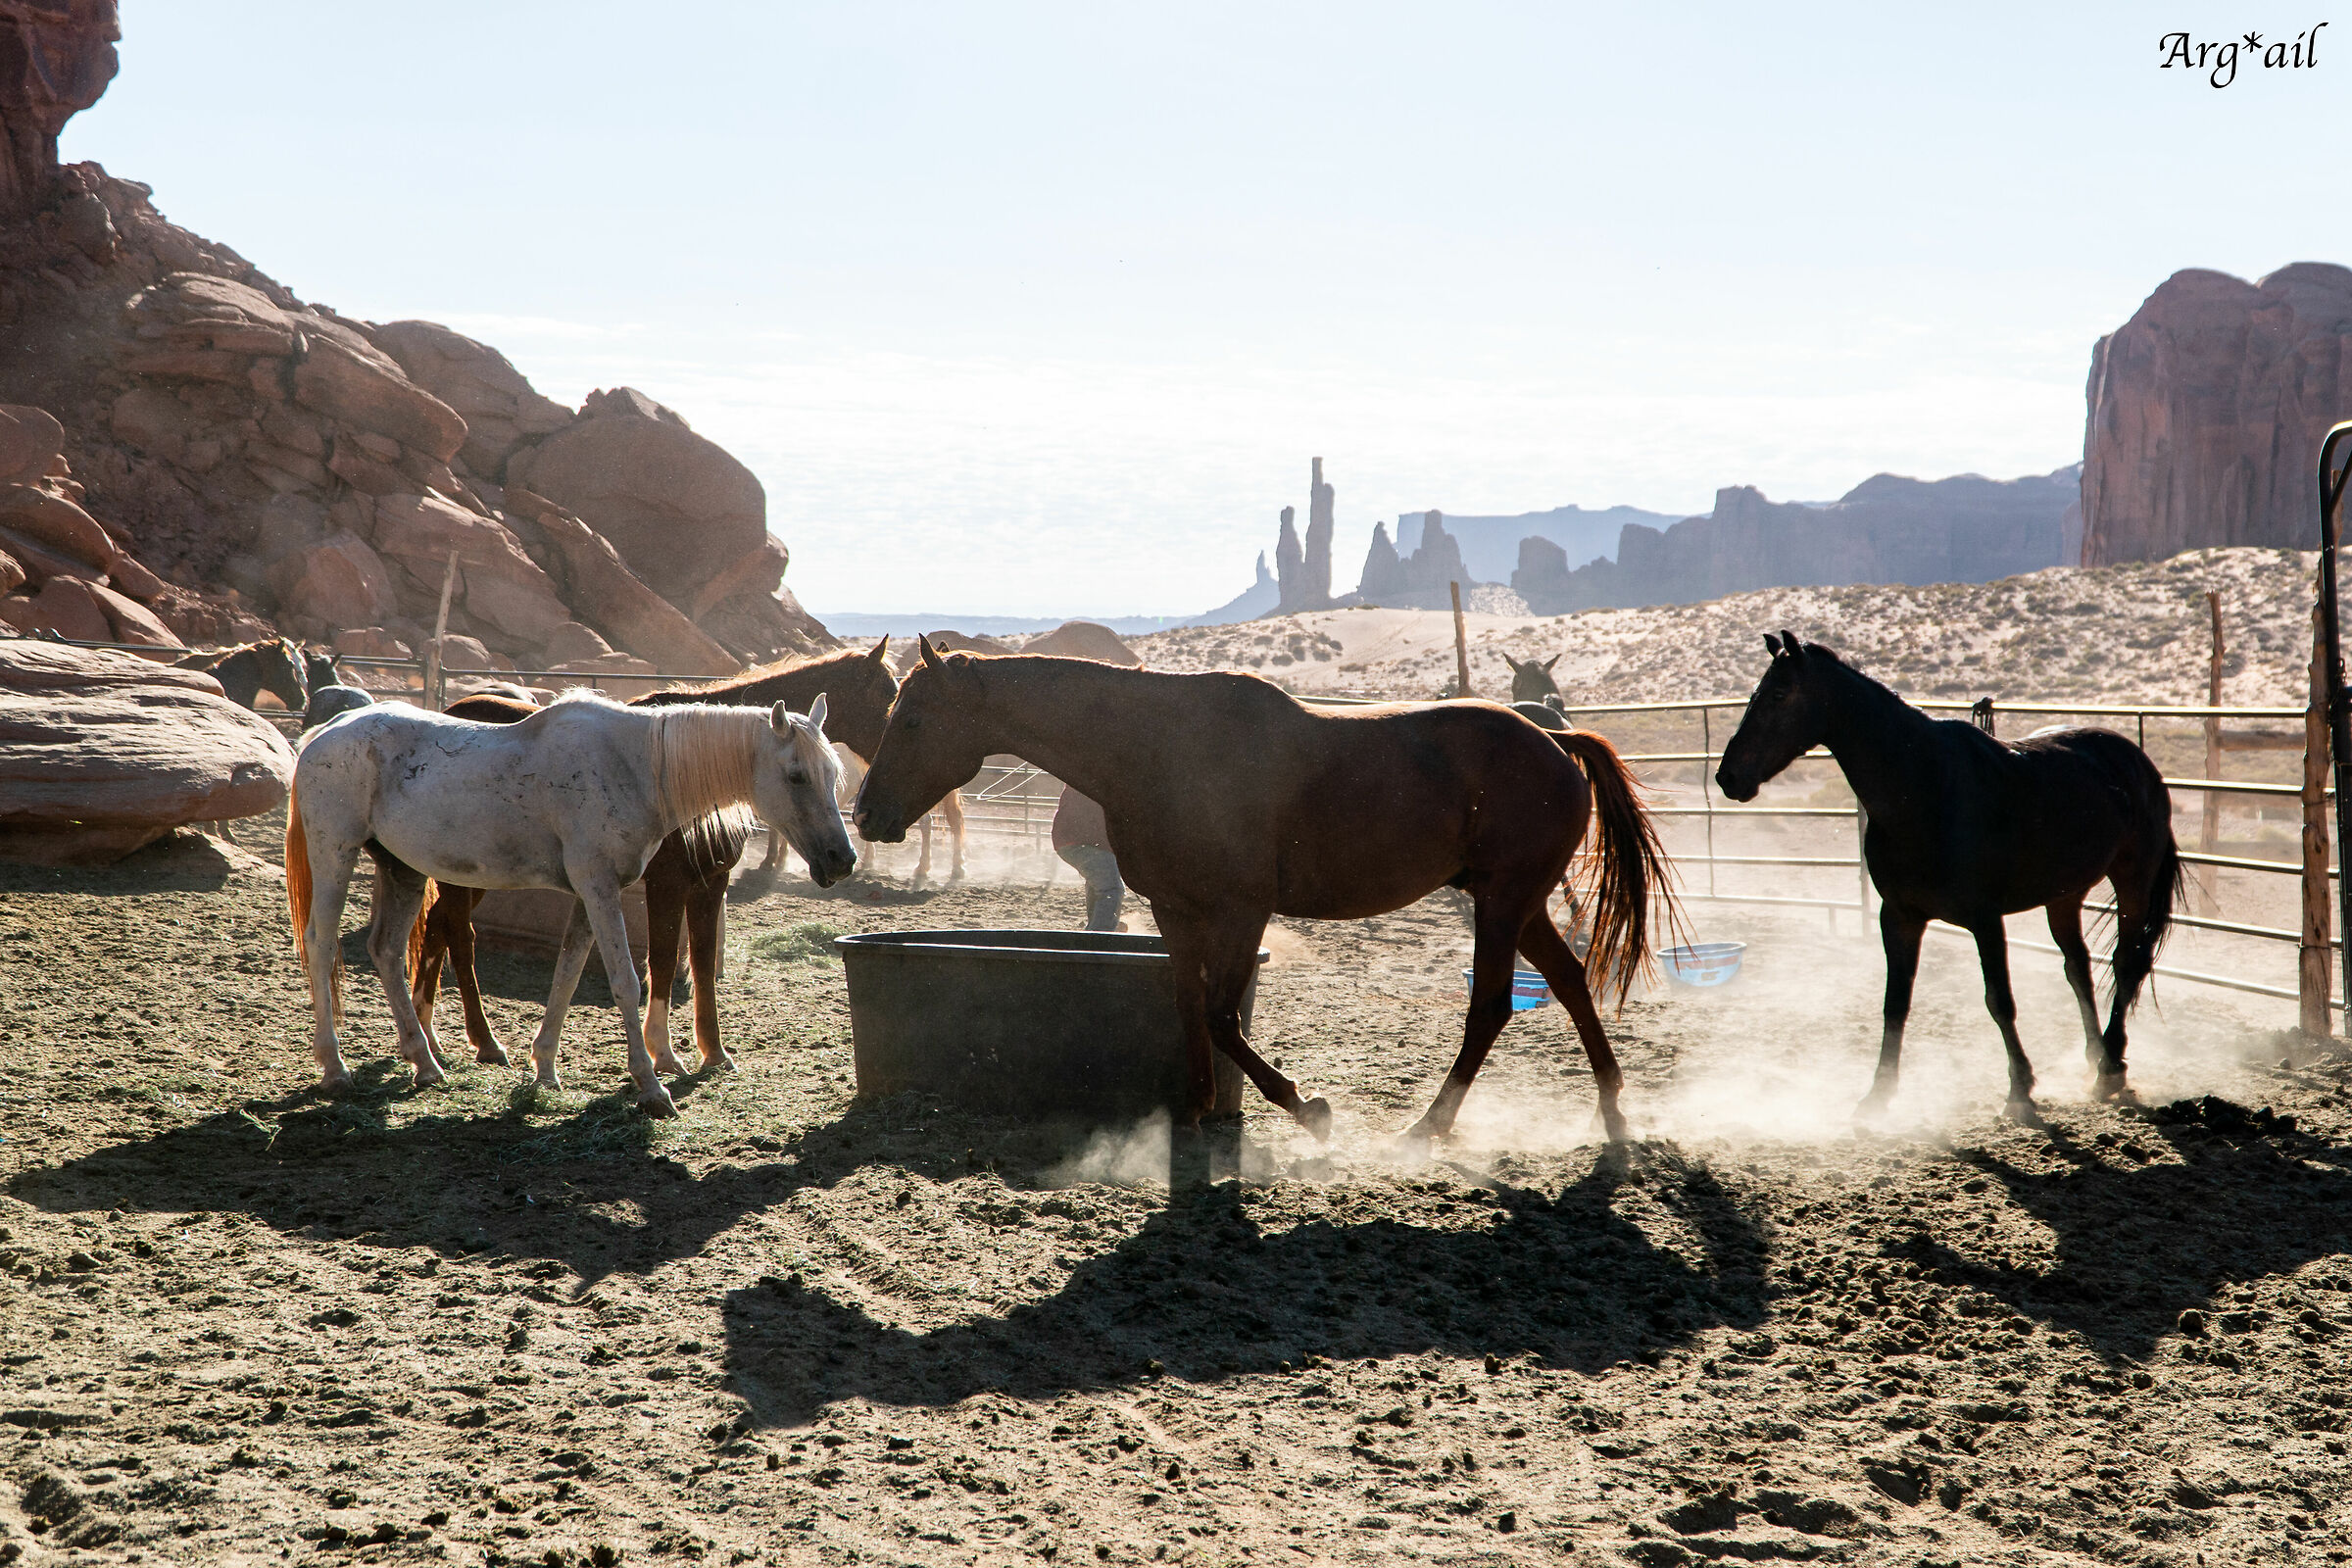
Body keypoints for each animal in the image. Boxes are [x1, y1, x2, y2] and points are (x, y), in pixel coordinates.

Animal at [284, 691, 856, 1116]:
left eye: (833, 776)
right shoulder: (601, 888)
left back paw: (424, 1063)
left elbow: (567, 973)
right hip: (336, 856)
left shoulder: (591, 893)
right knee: (320, 945)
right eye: (796, 775)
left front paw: (544, 1069)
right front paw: (652, 1085)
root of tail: (325, 731)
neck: (638, 766)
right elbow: (627, 981)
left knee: (385, 951)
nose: (842, 858)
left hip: (402, 871)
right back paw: (334, 1069)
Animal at [854, 640, 1677, 1142]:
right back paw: (1611, 1112)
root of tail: (1555, 742)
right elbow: (1189, 1005)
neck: (1159, 748)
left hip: (1502, 902)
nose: (865, 814)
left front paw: (1305, 1107)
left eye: (914, 718)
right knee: (1570, 984)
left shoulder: (1242, 910)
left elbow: (1223, 1016)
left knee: (1493, 1008)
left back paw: (1427, 1128)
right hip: (1519, 901)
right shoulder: (1176, 910)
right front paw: (1194, 1111)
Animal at [1715, 632, 2182, 1121]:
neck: (1923, 789)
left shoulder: (1985, 919)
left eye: (1779, 694)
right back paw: (2095, 1055)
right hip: (2063, 896)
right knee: (2079, 968)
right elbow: (1895, 1004)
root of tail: (2139, 763)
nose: (1728, 776)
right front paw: (1879, 1094)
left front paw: (2020, 1089)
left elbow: (2000, 1001)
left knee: (2127, 962)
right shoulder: (1899, 917)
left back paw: (2110, 1066)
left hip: (2133, 880)